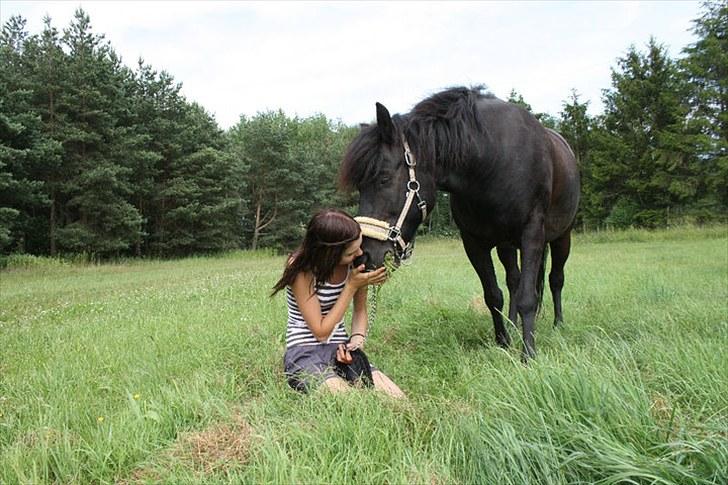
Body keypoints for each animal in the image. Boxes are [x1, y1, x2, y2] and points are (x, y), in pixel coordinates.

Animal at [340, 86, 580, 360]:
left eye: (384, 178)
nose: (364, 255)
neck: (491, 160)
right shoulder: (473, 243)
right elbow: (493, 296)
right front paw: (503, 343)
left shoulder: (532, 235)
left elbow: (529, 298)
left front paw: (528, 355)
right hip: (506, 245)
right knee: (514, 282)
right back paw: (513, 324)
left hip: (562, 236)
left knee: (555, 279)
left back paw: (558, 325)